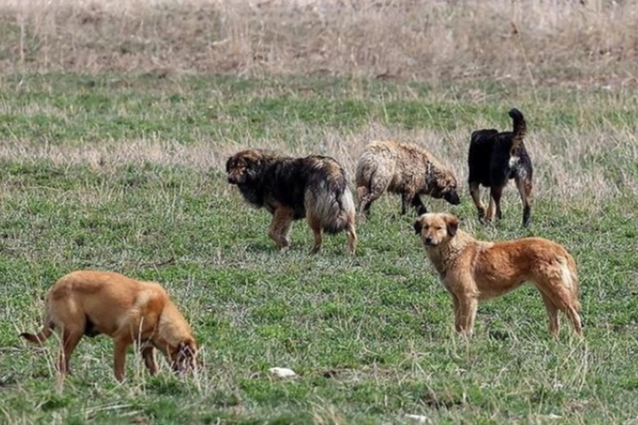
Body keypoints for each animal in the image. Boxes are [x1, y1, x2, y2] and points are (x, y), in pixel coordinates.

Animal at [20, 270, 198, 382]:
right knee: (62, 360)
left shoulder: (146, 347)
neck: (161, 314)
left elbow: (153, 367)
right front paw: (122, 385)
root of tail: (54, 288)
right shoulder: (121, 341)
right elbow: (119, 368)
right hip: (75, 331)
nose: (195, 374)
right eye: (190, 357)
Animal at [228, 149, 360, 255]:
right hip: (346, 211)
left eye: (241, 167)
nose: (229, 178)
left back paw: (313, 252)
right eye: (231, 167)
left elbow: (271, 232)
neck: (261, 171)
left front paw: (284, 244)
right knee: (352, 233)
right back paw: (350, 253)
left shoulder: (283, 209)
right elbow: (281, 232)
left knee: (319, 236)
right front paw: (283, 247)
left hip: (312, 213)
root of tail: (333, 171)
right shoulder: (287, 214)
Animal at [416, 214, 584, 336]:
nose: (428, 239)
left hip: (557, 293)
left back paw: (578, 341)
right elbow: (458, 324)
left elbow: (466, 325)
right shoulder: (456, 298)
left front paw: (465, 342)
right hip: (547, 294)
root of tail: (559, 248)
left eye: (439, 228)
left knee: (575, 316)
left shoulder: (468, 296)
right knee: (555, 321)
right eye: (425, 227)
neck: (454, 250)